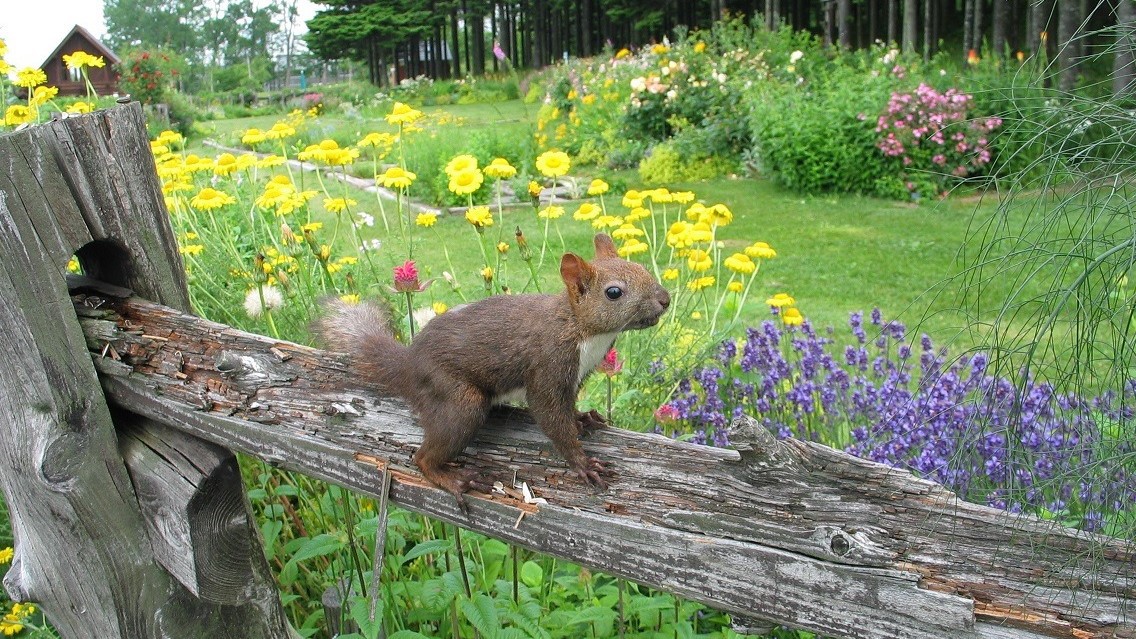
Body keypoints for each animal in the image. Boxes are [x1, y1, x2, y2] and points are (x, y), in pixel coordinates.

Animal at [315, 233, 667, 502]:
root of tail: (408, 366)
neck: (584, 331)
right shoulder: (549, 364)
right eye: (614, 292)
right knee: (422, 458)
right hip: (460, 400)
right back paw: (452, 478)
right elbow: (551, 416)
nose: (665, 299)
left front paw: (583, 418)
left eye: (642, 268)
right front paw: (582, 463)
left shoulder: (577, 376)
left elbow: (569, 408)